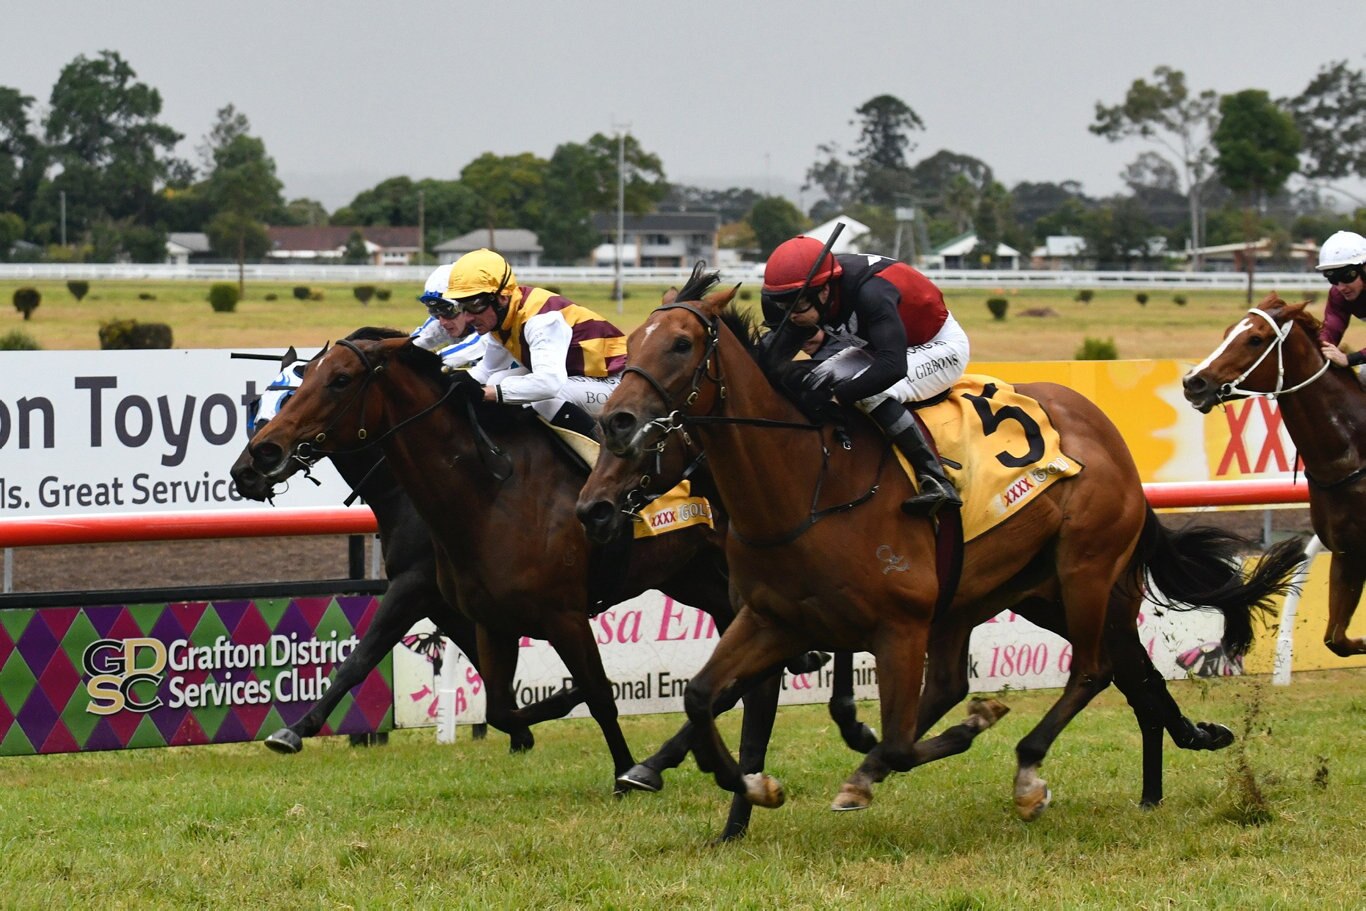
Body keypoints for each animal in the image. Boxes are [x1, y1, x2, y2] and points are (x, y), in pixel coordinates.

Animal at [579, 270, 1300, 835]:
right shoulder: (774, 618)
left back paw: (1029, 770)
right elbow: (704, 696)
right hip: (1014, 591)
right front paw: (749, 787)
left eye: (680, 344)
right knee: (1094, 670)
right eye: (628, 347)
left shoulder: (896, 627)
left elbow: (899, 741)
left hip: (1085, 570)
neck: (805, 483)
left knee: (1092, 670)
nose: (616, 425)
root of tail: (1111, 439)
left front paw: (957, 732)